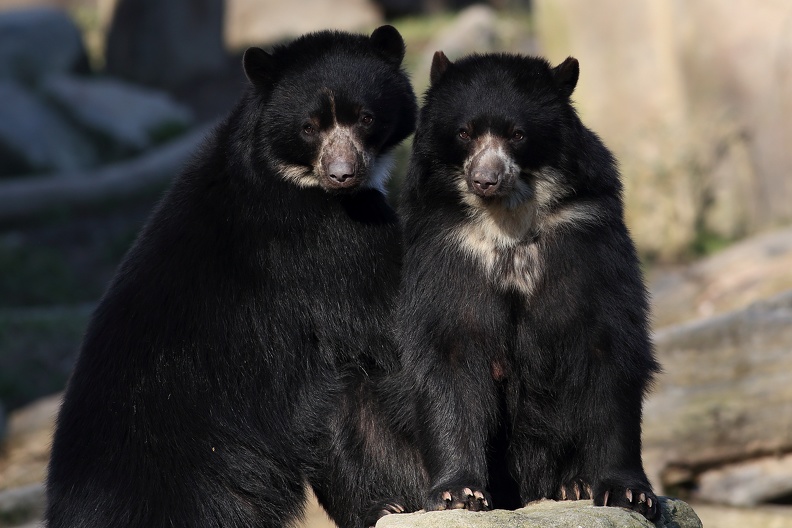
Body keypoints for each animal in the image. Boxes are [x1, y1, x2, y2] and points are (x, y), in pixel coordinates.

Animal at [45, 25, 424, 528]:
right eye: (308, 127)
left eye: (365, 117)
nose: (343, 174)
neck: (291, 173)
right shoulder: (330, 239)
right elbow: (394, 311)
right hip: (197, 479)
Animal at [388, 51, 656, 520]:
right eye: (464, 132)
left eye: (517, 134)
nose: (485, 179)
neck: (507, 221)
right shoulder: (446, 250)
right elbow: (448, 350)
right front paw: (458, 494)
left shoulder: (587, 236)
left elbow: (608, 343)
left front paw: (627, 493)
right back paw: (396, 504)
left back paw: (573, 485)